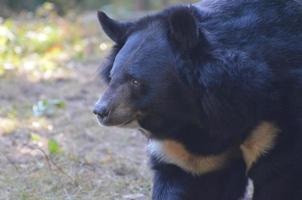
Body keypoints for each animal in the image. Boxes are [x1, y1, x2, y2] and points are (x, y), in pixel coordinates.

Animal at [93, 0, 302, 199]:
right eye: (111, 76)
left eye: (135, 81)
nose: (100, 111)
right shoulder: (187, 153)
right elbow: (189, 182)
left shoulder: (272, 127)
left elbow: (278, 177)